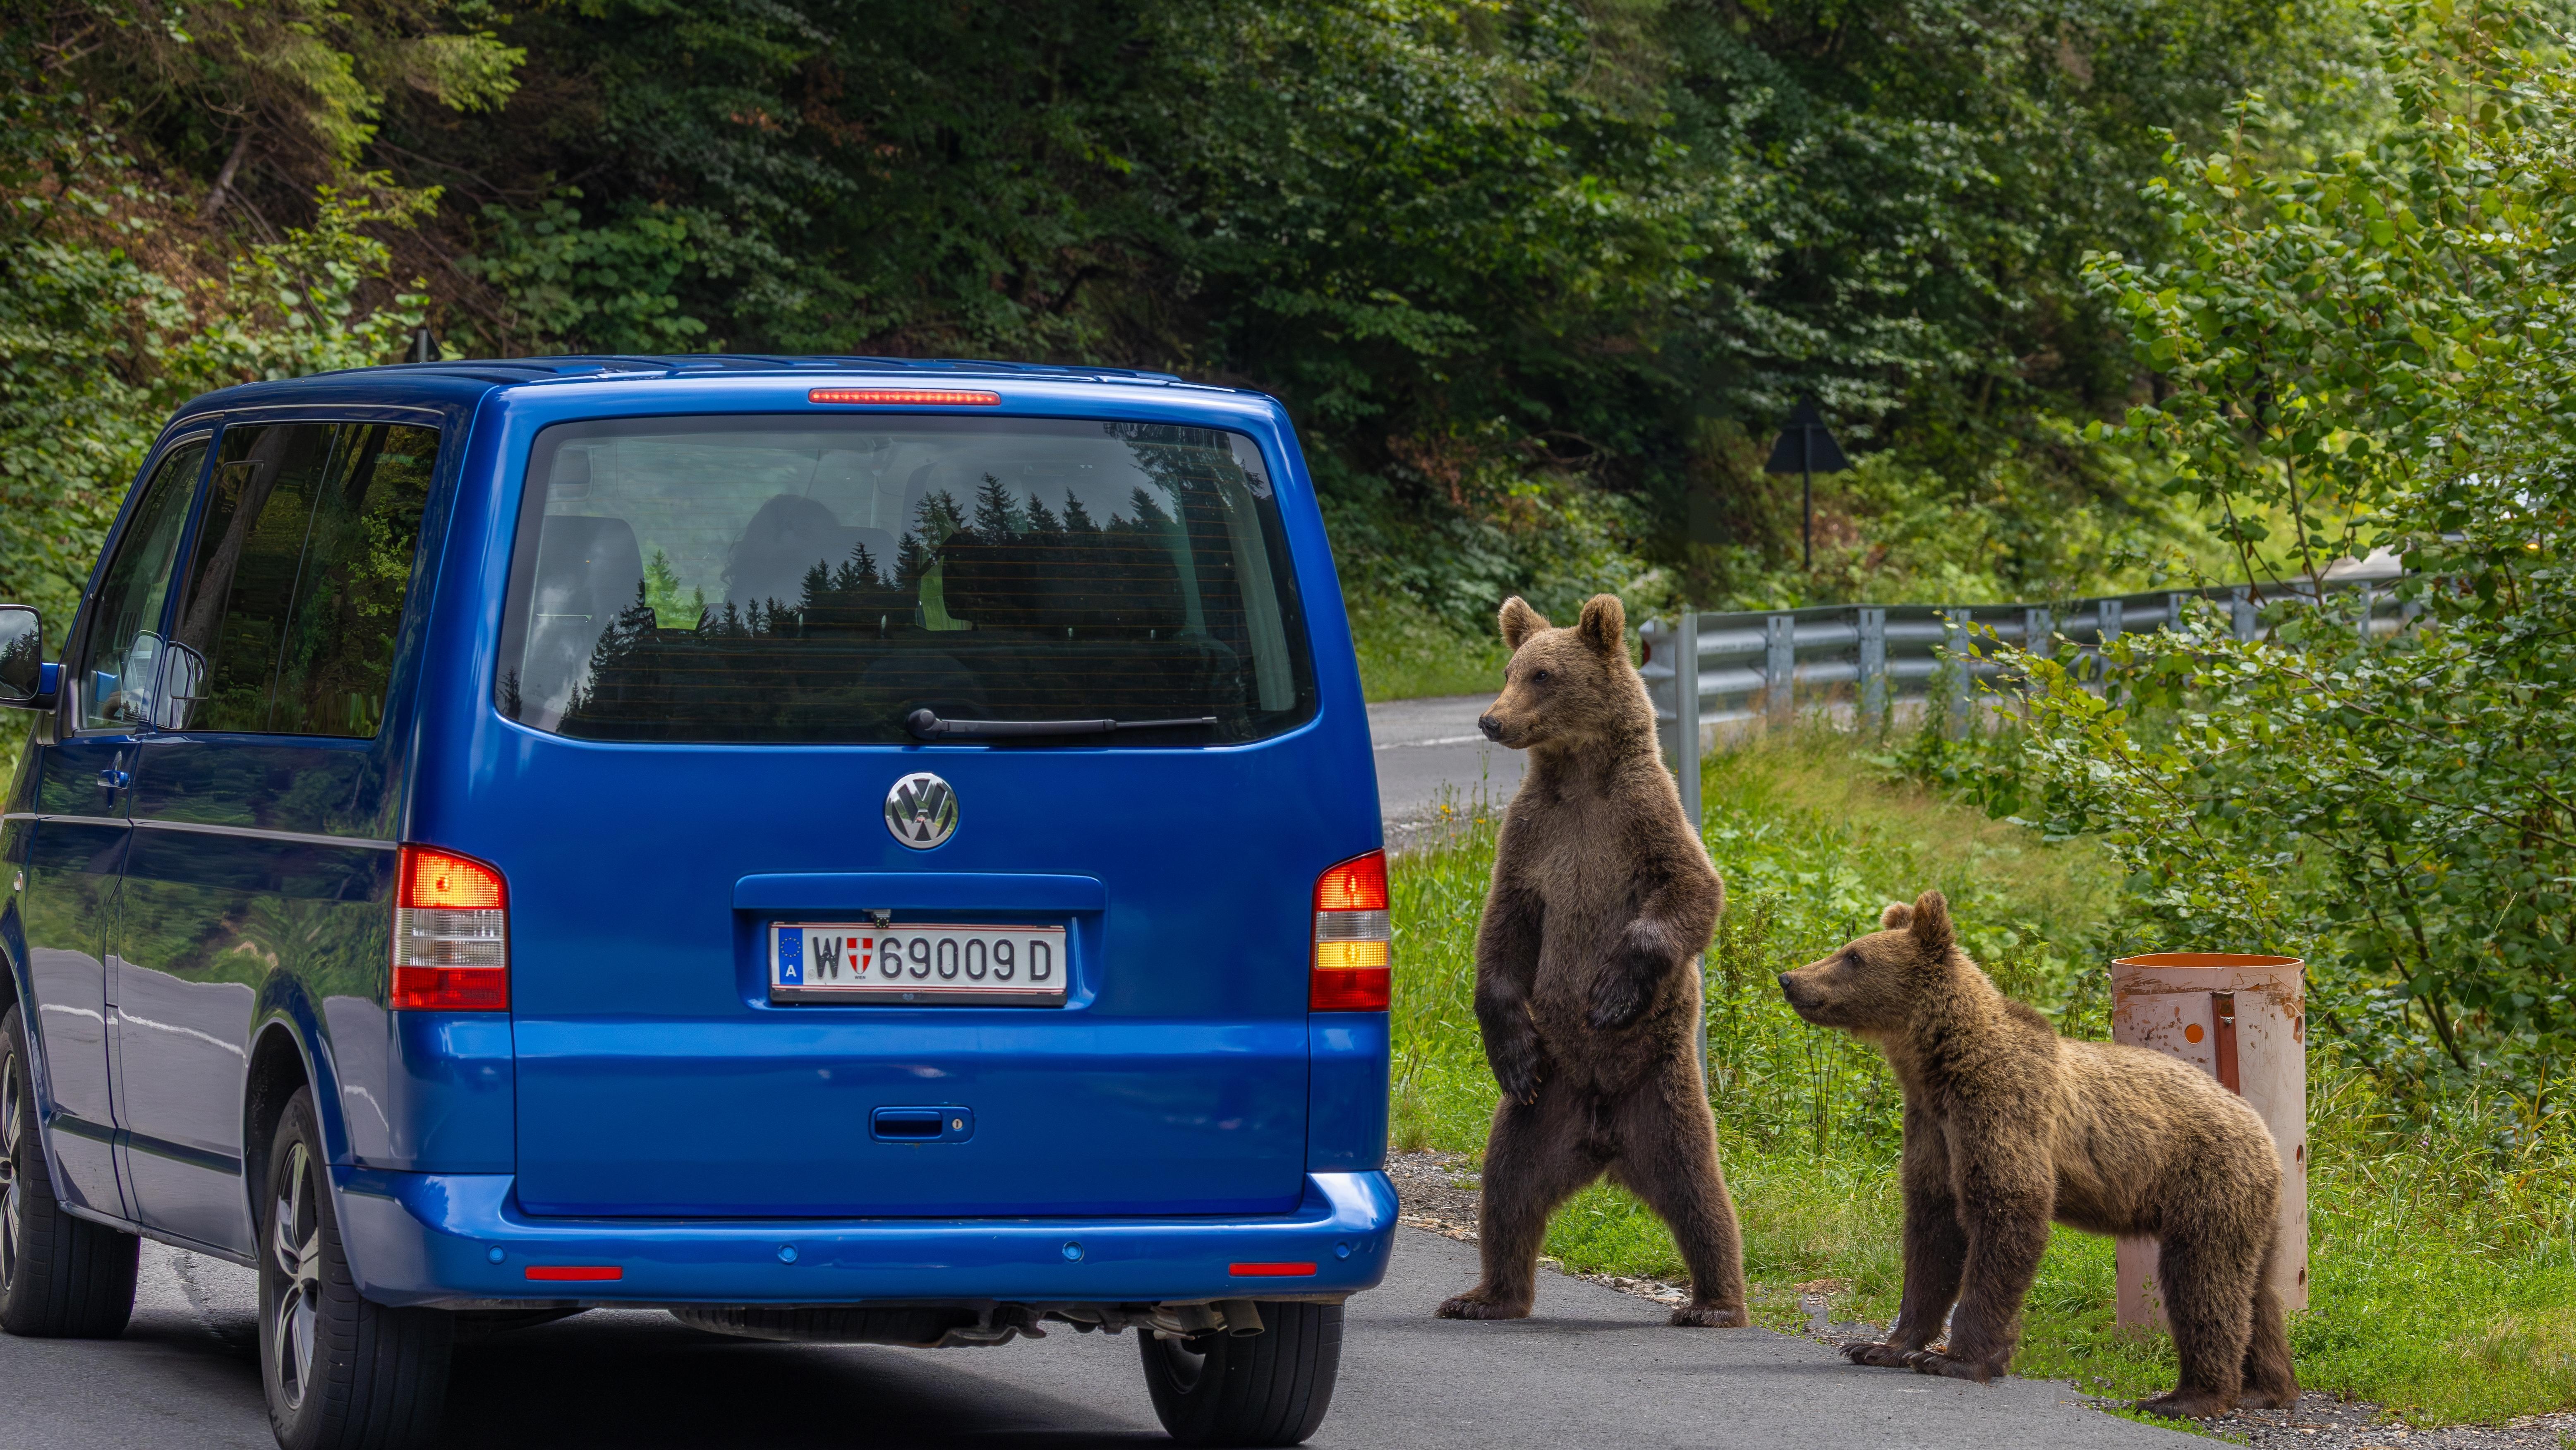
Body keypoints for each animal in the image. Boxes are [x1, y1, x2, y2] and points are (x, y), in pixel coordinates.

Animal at [1433, 593, 1750, 1328]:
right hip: (1540, 1109)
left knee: (1701, 1196)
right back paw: (1484, 1296)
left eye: (1543, 674)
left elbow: (1692, 891)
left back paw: (1714, 1303)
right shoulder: (1532, 838)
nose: (1491, 719)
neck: (1578, 778)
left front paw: (1610, 993)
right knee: (1508, 1189)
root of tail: (1604, 1140)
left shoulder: (1640, 820)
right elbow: (1503, 935)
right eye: (1509, 668)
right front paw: (1509, 1047)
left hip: (1661, 1095)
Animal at [1776, 890, 2297, 1419]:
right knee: (2254, 1288)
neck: (1938, 1067)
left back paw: (2187, 1396)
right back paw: (2264, 1387)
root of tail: (2257, 1124)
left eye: (1853, 956)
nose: (1789, 978)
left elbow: (2006, 1209)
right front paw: (1881, 1346)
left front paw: (1955, 1359)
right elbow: (1932, 1231)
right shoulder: (1930, 1128)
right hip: (2253, 1207)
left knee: (2201, 1279)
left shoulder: (2000, 1107)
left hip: (2207, 1181)